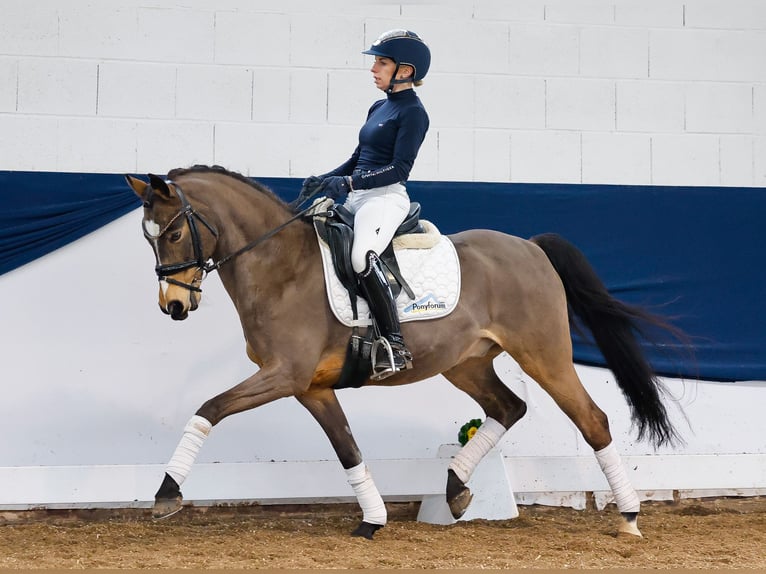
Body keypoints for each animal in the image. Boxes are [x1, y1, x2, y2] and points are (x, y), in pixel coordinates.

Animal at [126, 165, 684, 540]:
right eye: (150, 238)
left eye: (174, 232)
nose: (174, 305)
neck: (281, 267)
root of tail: (530, 246)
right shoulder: (311, 387)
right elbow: (348, 449)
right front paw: (372, 520)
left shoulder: (284, 375)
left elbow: (209, 409)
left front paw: (166, 494)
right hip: (466, 363)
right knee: (509, 407)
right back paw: (456, 489)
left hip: (544, 355)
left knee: (592, 420)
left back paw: (629, 518)